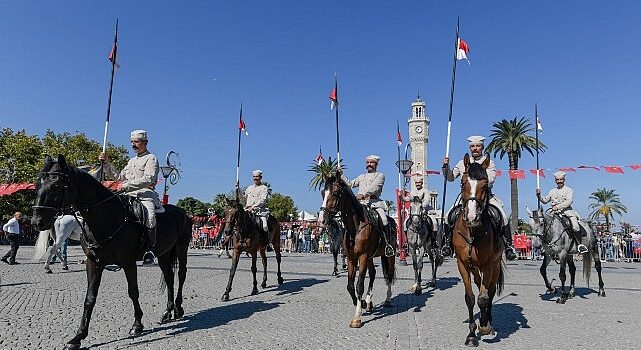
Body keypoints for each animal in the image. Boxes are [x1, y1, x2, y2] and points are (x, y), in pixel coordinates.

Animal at [31, 156, 190, 350]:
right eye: (37, 184)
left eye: (55, 185)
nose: (37, 222)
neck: (106, 218)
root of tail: (181, 212)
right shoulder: (94, 263)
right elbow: (90, 298)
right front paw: (78, 337)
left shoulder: (128, 262)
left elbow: (133, 291)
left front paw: (137, 325)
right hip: (163, 254)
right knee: (169, 277)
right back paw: (168, 312)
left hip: (182, 249)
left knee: (181, 275)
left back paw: (179, 308)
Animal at [316, 171, 396, 330]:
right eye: (323, 192)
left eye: (335, 193)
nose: (321, 221)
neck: (356, 227)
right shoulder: (352, 258)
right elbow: (350, 286)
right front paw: (362, 303)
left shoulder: (363, 257)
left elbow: (359, 285)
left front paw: (356, 318)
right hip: (371, 257)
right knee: (373, 274)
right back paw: (369, 302)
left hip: (389, 256)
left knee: (389, 276)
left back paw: (388, 300)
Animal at [450, 154, 504, 346]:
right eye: (462, 183)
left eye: (485, 184)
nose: (472, 217)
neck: (473, 231)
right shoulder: (462, 264)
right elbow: (470, 298)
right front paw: (472, 334)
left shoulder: (488, 264)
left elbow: (483, 298)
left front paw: (484, 325)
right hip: (474, 267)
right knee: (479, 283)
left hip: (495, 264)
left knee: (490, 290)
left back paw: (489, 320)